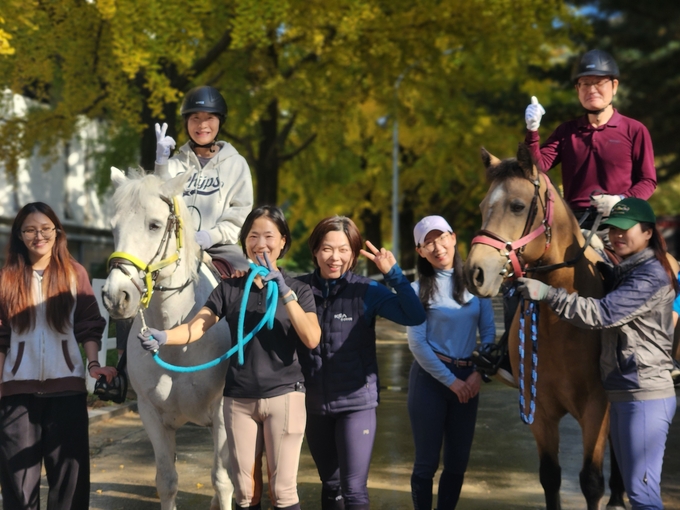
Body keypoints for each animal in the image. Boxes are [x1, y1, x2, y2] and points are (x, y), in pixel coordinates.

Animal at [101, 168, 234, 510]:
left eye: (155, 225)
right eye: (113, 227)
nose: (115, 297)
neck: (178, 340)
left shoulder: (223, 411)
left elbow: (223, 480)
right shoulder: (151, 414)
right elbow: (167, 481)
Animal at [464, 144, 624, 510]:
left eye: (517, 205)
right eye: (482, 206)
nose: (475, 272)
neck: (560, 320)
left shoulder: (597, 407)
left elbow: (591, 481)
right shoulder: (538, 410)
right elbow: (550, 477)